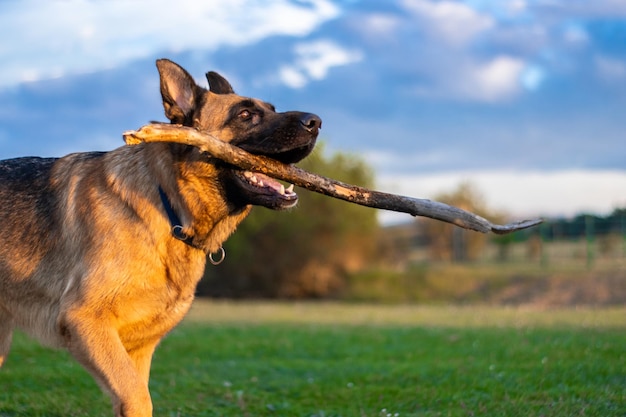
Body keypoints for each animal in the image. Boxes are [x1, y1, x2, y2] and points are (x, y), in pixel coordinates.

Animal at [0, 59, 320, 416]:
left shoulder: (137, 351)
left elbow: (138, 398)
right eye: (245, 114)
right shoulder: (86, 322)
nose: (316, 122)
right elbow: (139, 397)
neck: (168, 207)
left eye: (272, 109)